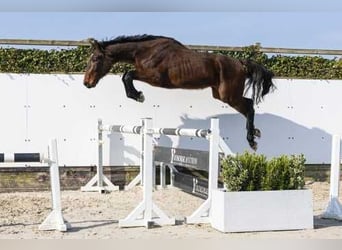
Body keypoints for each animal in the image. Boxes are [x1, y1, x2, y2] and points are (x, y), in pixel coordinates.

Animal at [83, 34, 276, 149]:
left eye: (96, 58)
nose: (87, 83)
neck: (144, 51)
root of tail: (240, 63)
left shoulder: (154, 78)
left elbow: (127, 75)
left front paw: (138, 96)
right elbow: (126, 76)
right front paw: (137, 95)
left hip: (229, 95)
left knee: (249, 106)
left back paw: (251, 139)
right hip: (221, 95)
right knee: (247, 107)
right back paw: (255, 133)